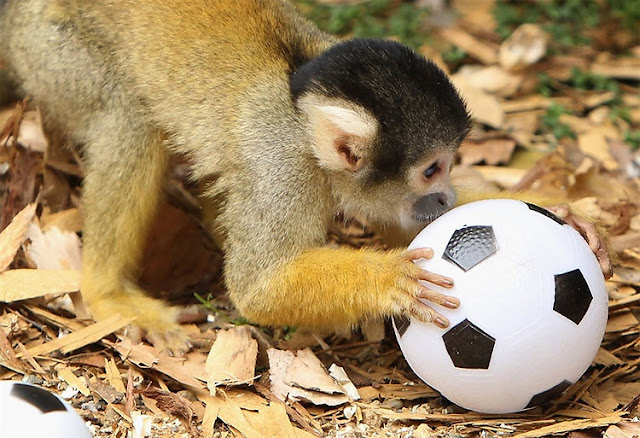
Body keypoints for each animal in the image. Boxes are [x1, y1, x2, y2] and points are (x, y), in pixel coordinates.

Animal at [0, 0, 608, 356]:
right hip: (54, 49)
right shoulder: (284, 169)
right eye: (432, 168)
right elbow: (259, 288)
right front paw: (392, 280)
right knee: (128, 116)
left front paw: (569, 210)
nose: (444, 197)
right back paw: (107, 291)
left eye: (452, 167)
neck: (304, 122)